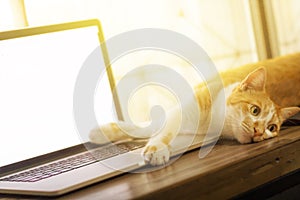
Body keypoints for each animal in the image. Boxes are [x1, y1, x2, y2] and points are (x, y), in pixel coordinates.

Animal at [89, 53, 300, 166]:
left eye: (271, 128)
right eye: (255, 110)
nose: (258, 131)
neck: (211, 123)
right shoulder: (181, 109)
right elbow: (156, 129)